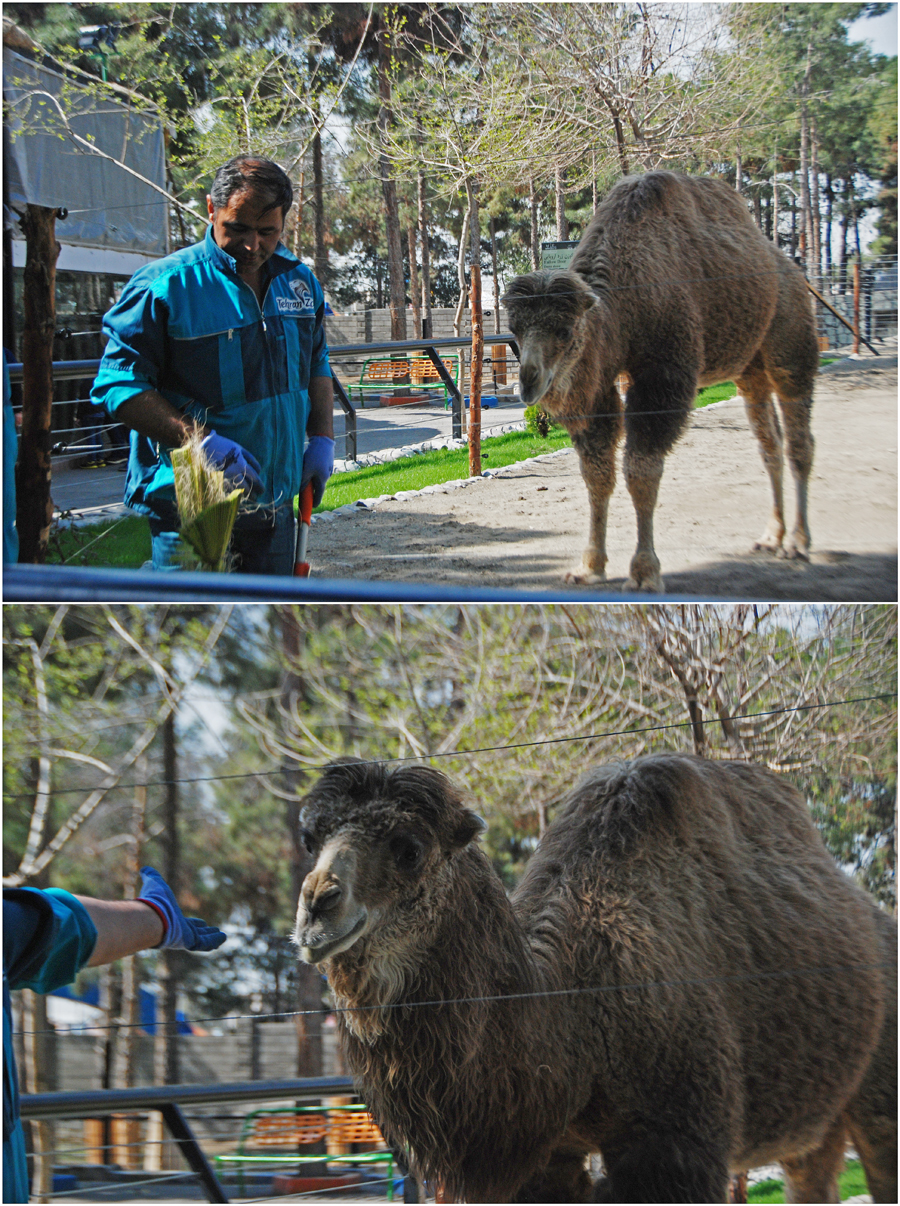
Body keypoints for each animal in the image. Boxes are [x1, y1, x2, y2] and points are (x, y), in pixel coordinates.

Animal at [293, 747, 892, 1201]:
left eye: (410, 849)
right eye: (311, 838)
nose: (317, 906)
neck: (575, 1016)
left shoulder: (673, 1142)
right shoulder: (544, 1158)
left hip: (878, 1089)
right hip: (820, 1117)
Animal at [501, 171, 815, 593]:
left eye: (565, 331)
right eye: (515, 332)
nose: (529, 382)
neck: (625, 304)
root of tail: (792, 269)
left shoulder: (665, 373)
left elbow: (641, 470)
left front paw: (645, 572)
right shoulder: (599, 386)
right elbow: (597, 475)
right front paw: (589, 567)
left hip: (790, 336)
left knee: (799, 437)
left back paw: (797, 543)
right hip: (751, 368)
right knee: (770, 444)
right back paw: (770, 537)